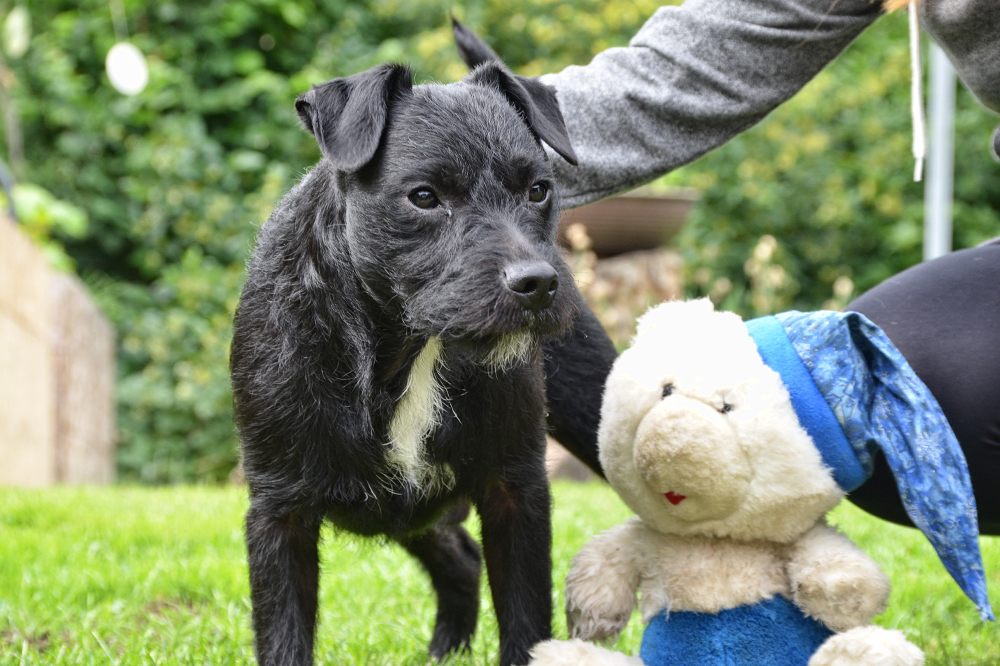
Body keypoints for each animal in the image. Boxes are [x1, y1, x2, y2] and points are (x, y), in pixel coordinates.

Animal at [231, 44, 616, 660]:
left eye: (538, 189)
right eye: (424, 198)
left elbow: (526, 615)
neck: (410, 348)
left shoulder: (515, 489)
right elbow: (285, 635)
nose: (537, 282)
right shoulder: (280, 511)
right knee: (459, 558)